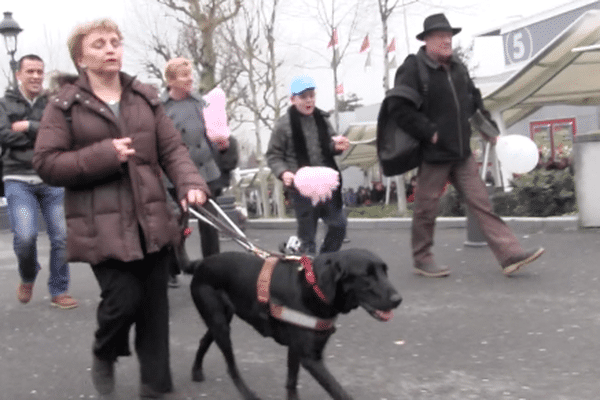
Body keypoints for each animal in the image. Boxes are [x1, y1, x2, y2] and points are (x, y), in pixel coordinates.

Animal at [190, 248, 400, 398]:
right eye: (366, 275)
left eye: (385, 271)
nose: (398, 300)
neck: (315, 289)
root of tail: (201, 263)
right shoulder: (310, 358)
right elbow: (339, 392)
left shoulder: (296, 350)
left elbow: (291, 383)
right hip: (220, 324)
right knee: (231, 367)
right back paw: (247, 393)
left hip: (221, 319)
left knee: (203, 341)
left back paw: (196, 371)